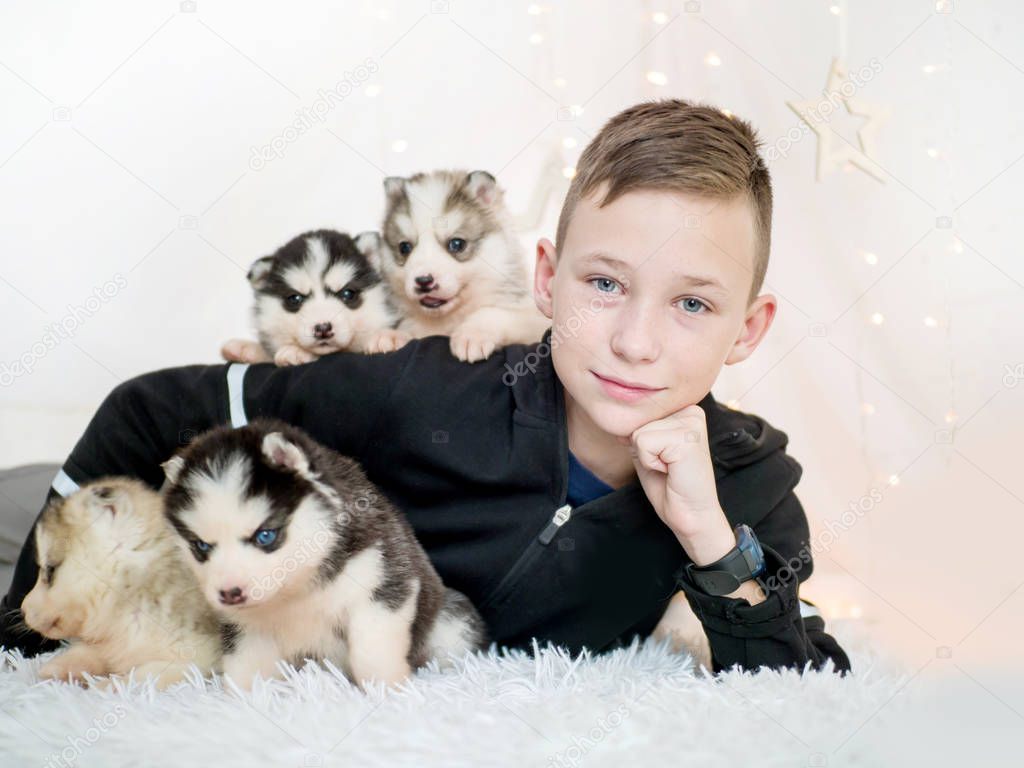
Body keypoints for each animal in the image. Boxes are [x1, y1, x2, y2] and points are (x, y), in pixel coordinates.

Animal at [18, 481, 222, 692]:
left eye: (50, 570)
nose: (22, 609)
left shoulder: (195, 661)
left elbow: (140, 676)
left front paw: (103, 688)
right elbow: (91, 652)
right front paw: (58, 668)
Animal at [161, 417, 489, 696]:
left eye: (265, 535)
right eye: (201, 546)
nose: (230, 593)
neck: (295, 589)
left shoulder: (382, 585)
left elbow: (372, 650)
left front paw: (387, 690)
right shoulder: (246, 628)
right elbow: (245, 666)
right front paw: (242, 702)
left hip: (452, 622)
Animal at [370, 169, 552, 362]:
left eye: (457, 244)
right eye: (404, 247)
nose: (423, 281)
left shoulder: (533, 319)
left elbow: (494, 313)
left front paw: (473, 334)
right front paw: (392, 335)